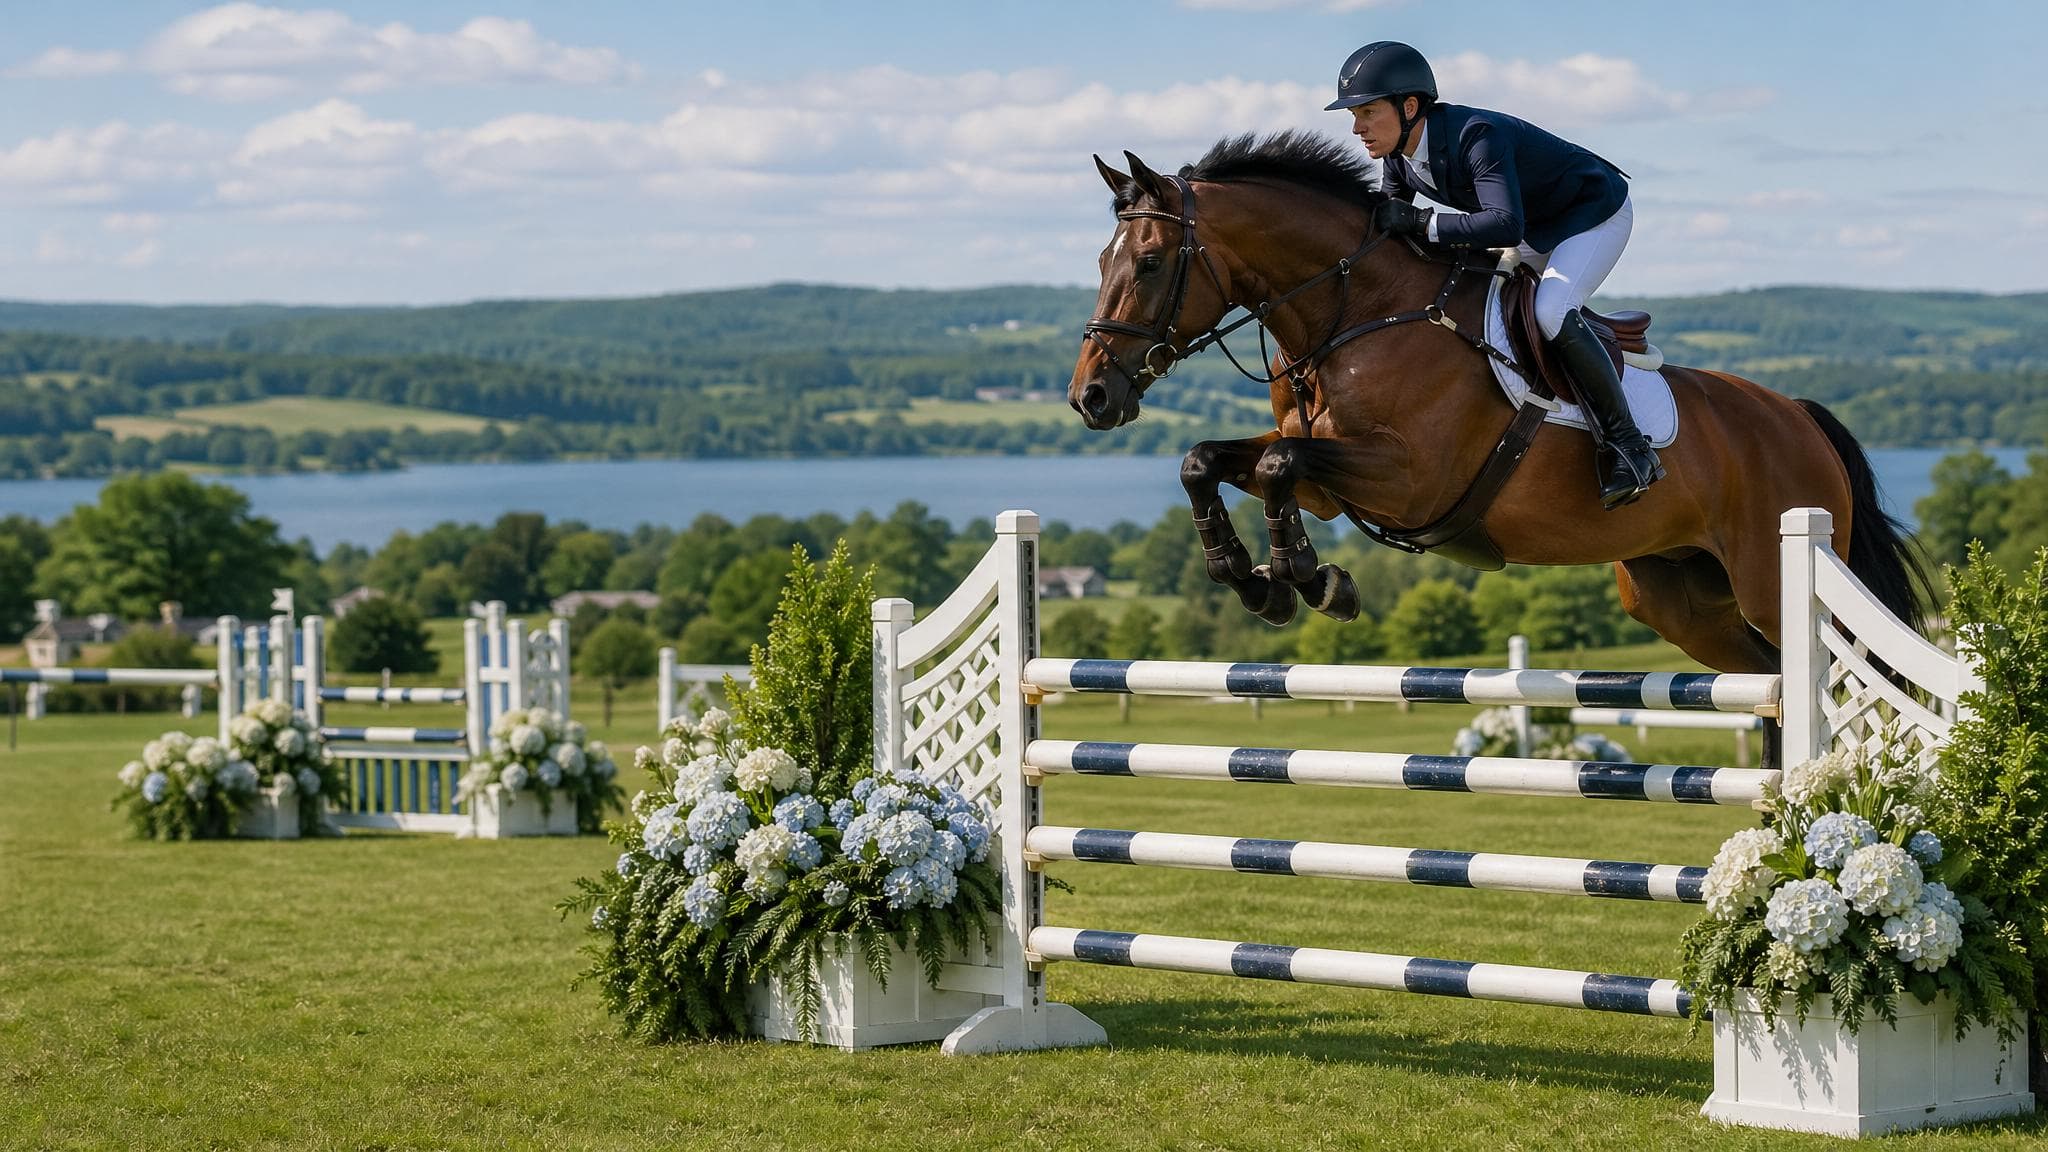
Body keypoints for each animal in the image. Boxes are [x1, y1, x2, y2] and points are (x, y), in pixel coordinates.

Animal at [1068, 132, 1923, 676]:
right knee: (1769, 680)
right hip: (1678, 596)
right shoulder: (1331, 485)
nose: (1091, 397)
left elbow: (1278, 464)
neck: (1355, 310)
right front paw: (1257, 581)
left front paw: (1310, 581)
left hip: (1773, 576)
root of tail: (1798, 417)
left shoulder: (1409, 480)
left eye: (1150, 261)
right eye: (1103, 261)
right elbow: (1206, 460)